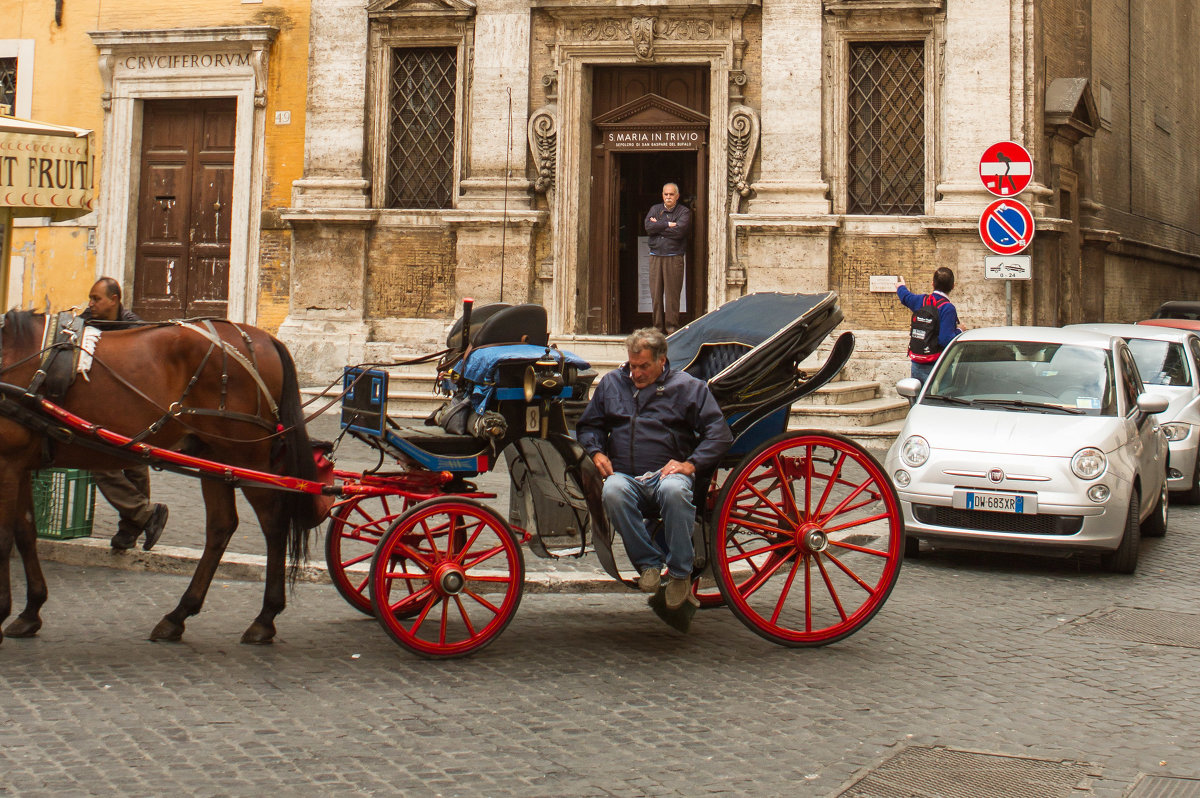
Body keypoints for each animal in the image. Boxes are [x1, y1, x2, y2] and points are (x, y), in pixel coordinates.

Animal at [0, 307, 326, 643]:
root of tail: (267, 339)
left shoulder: (7, 461)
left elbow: (4, 538)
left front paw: (6, 611)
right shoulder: (18, 463)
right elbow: (25, 533)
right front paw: (30, 611)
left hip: (247, 454)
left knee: (273, 521)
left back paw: (265, 618)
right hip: (215, 454)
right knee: (221, 526)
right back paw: (178, 615)